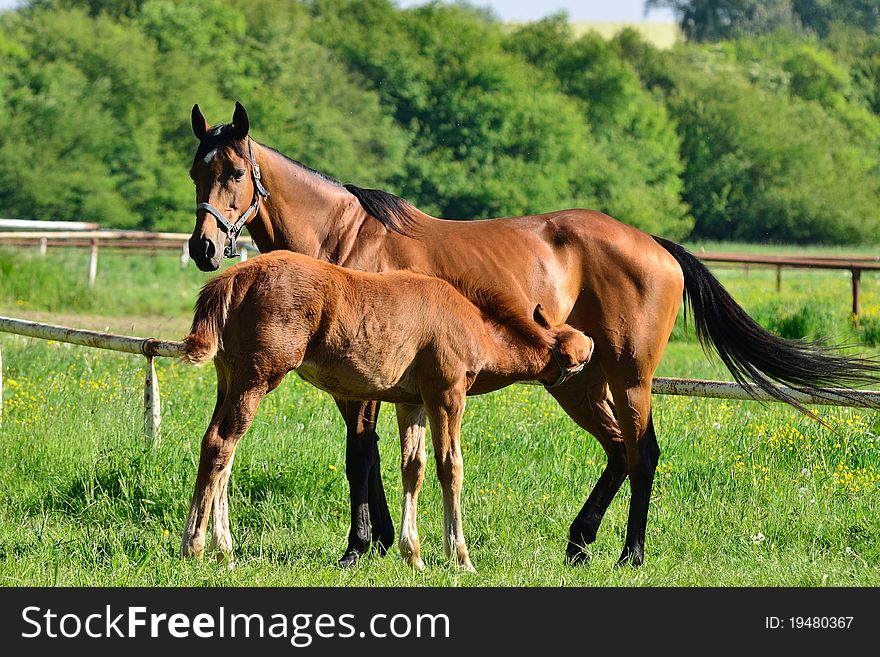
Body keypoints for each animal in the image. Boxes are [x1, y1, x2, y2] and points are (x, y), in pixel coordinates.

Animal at [179, 251, 592, 568]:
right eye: (572, 348)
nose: (591, 344)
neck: (469, 320)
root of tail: (233, 278)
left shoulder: (413, 404)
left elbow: (414, 468)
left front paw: (414, 555)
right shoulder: (447, 395)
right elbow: (450, 467)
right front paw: (460, 558)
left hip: (230, 381)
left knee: (222, 454)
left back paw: (224, 549)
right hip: (256, 379)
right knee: (220, 446)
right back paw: (194, 546)